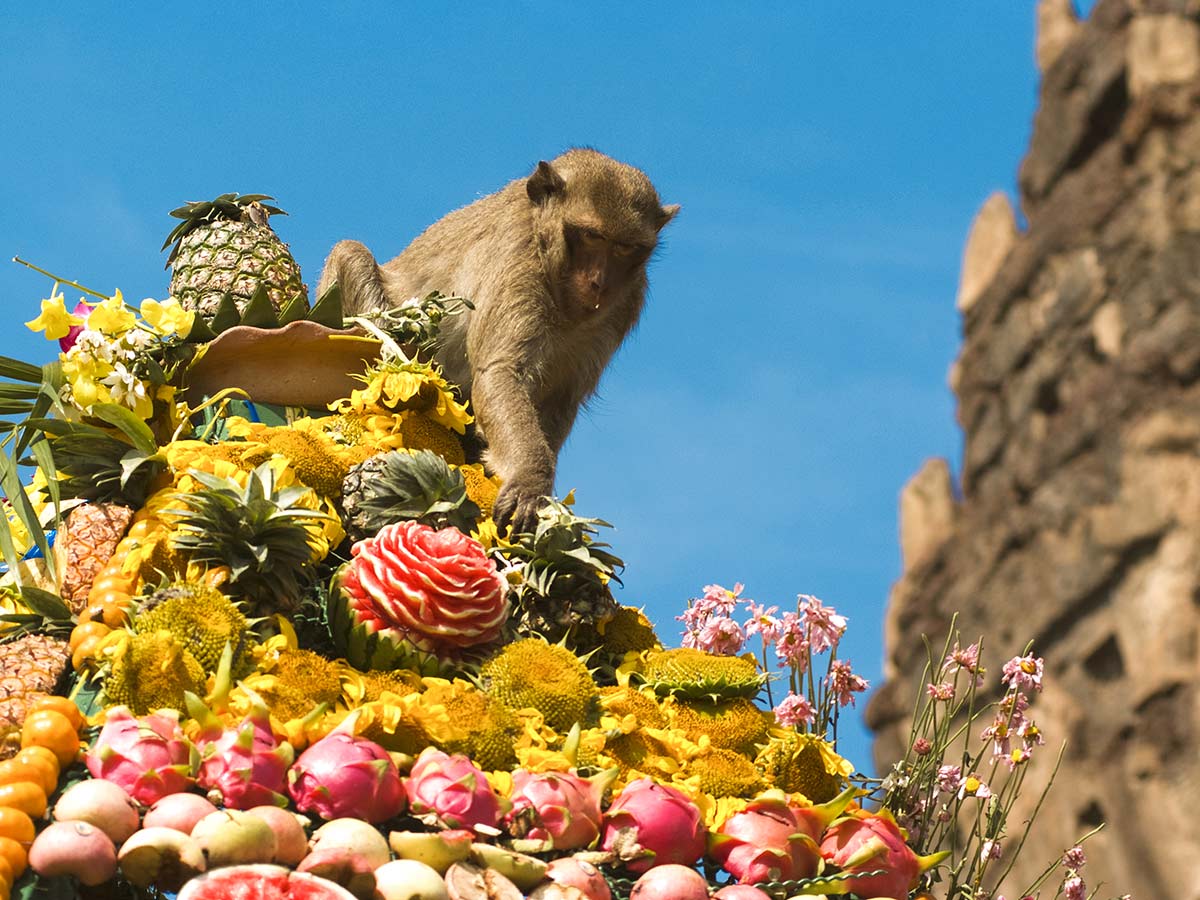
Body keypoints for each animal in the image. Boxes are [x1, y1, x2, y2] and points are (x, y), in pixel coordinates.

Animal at [318, 148, 679, 536]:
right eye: (591, 236)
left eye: (625, 248)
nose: (600, 283)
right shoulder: (519, 259)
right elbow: (500, 372)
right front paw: (530, 481)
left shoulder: (625, 303)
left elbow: (561, 399)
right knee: (351, 254)